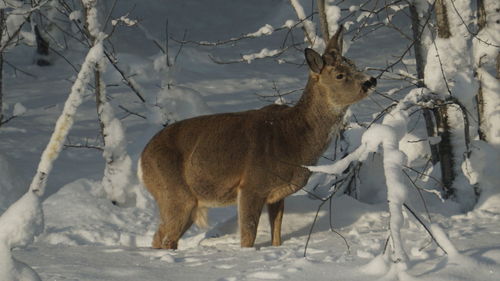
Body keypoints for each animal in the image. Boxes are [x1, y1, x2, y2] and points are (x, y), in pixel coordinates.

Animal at [137, 27, 376, 248]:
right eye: (339, 75)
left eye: (353, 63)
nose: (371, 80)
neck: (295, 139)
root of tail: (142, 159)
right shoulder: (251, 184)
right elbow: (248, 236)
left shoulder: (278, 194)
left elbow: (276, 235)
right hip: (175, 193)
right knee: (164, 237)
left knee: (164, 237)